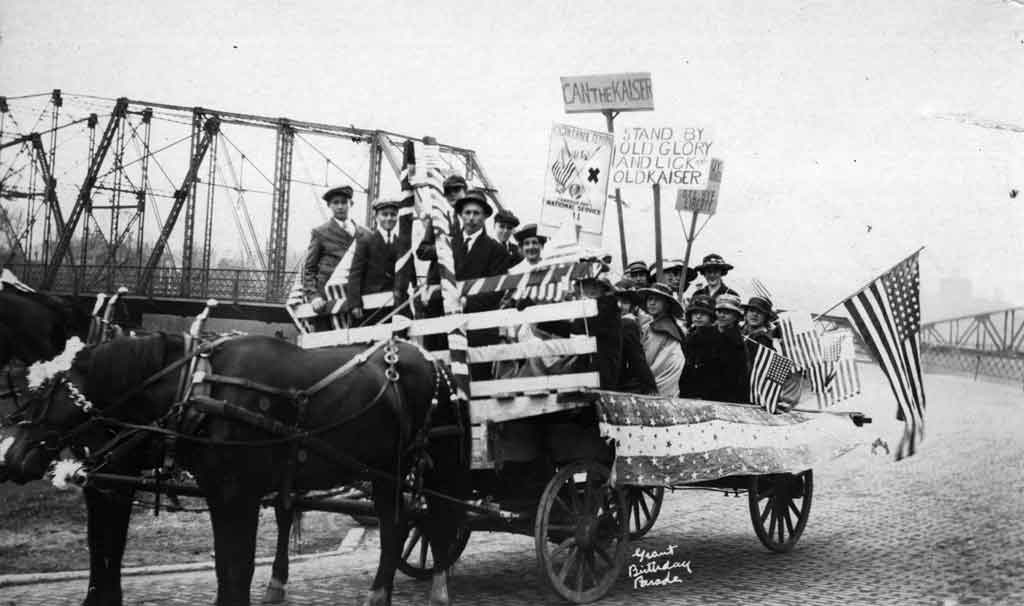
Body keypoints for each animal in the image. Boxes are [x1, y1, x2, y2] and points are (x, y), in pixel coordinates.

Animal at [2, 333, 468, 601]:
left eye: (44, 391)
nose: (11, 454)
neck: (200, 385)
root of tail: (435, 362)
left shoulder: (236, 496)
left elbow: (237, 569)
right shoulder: (219, 495)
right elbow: (227, 569)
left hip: (408, 469)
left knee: (419, 525)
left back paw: (422, 592)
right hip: (381, 471)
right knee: (404, 524)